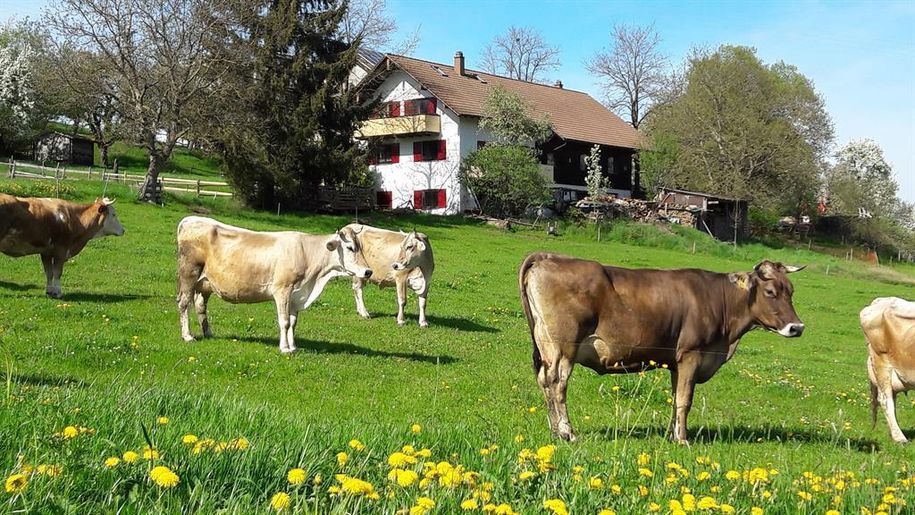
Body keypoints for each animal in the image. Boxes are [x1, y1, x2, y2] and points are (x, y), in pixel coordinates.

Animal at [177, 216, 374, 352]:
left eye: (360, 247)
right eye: (350, 248)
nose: (368, 271)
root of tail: (190, 219)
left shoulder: (296, 294)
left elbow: (293, 322)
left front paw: (293, 346)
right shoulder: (282, 289)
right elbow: (285, 321)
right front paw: (285, 348)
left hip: (205, 283)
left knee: (200, 305)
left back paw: (208, 332)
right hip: (189, 275)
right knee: (184, 303)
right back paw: (187, 336)